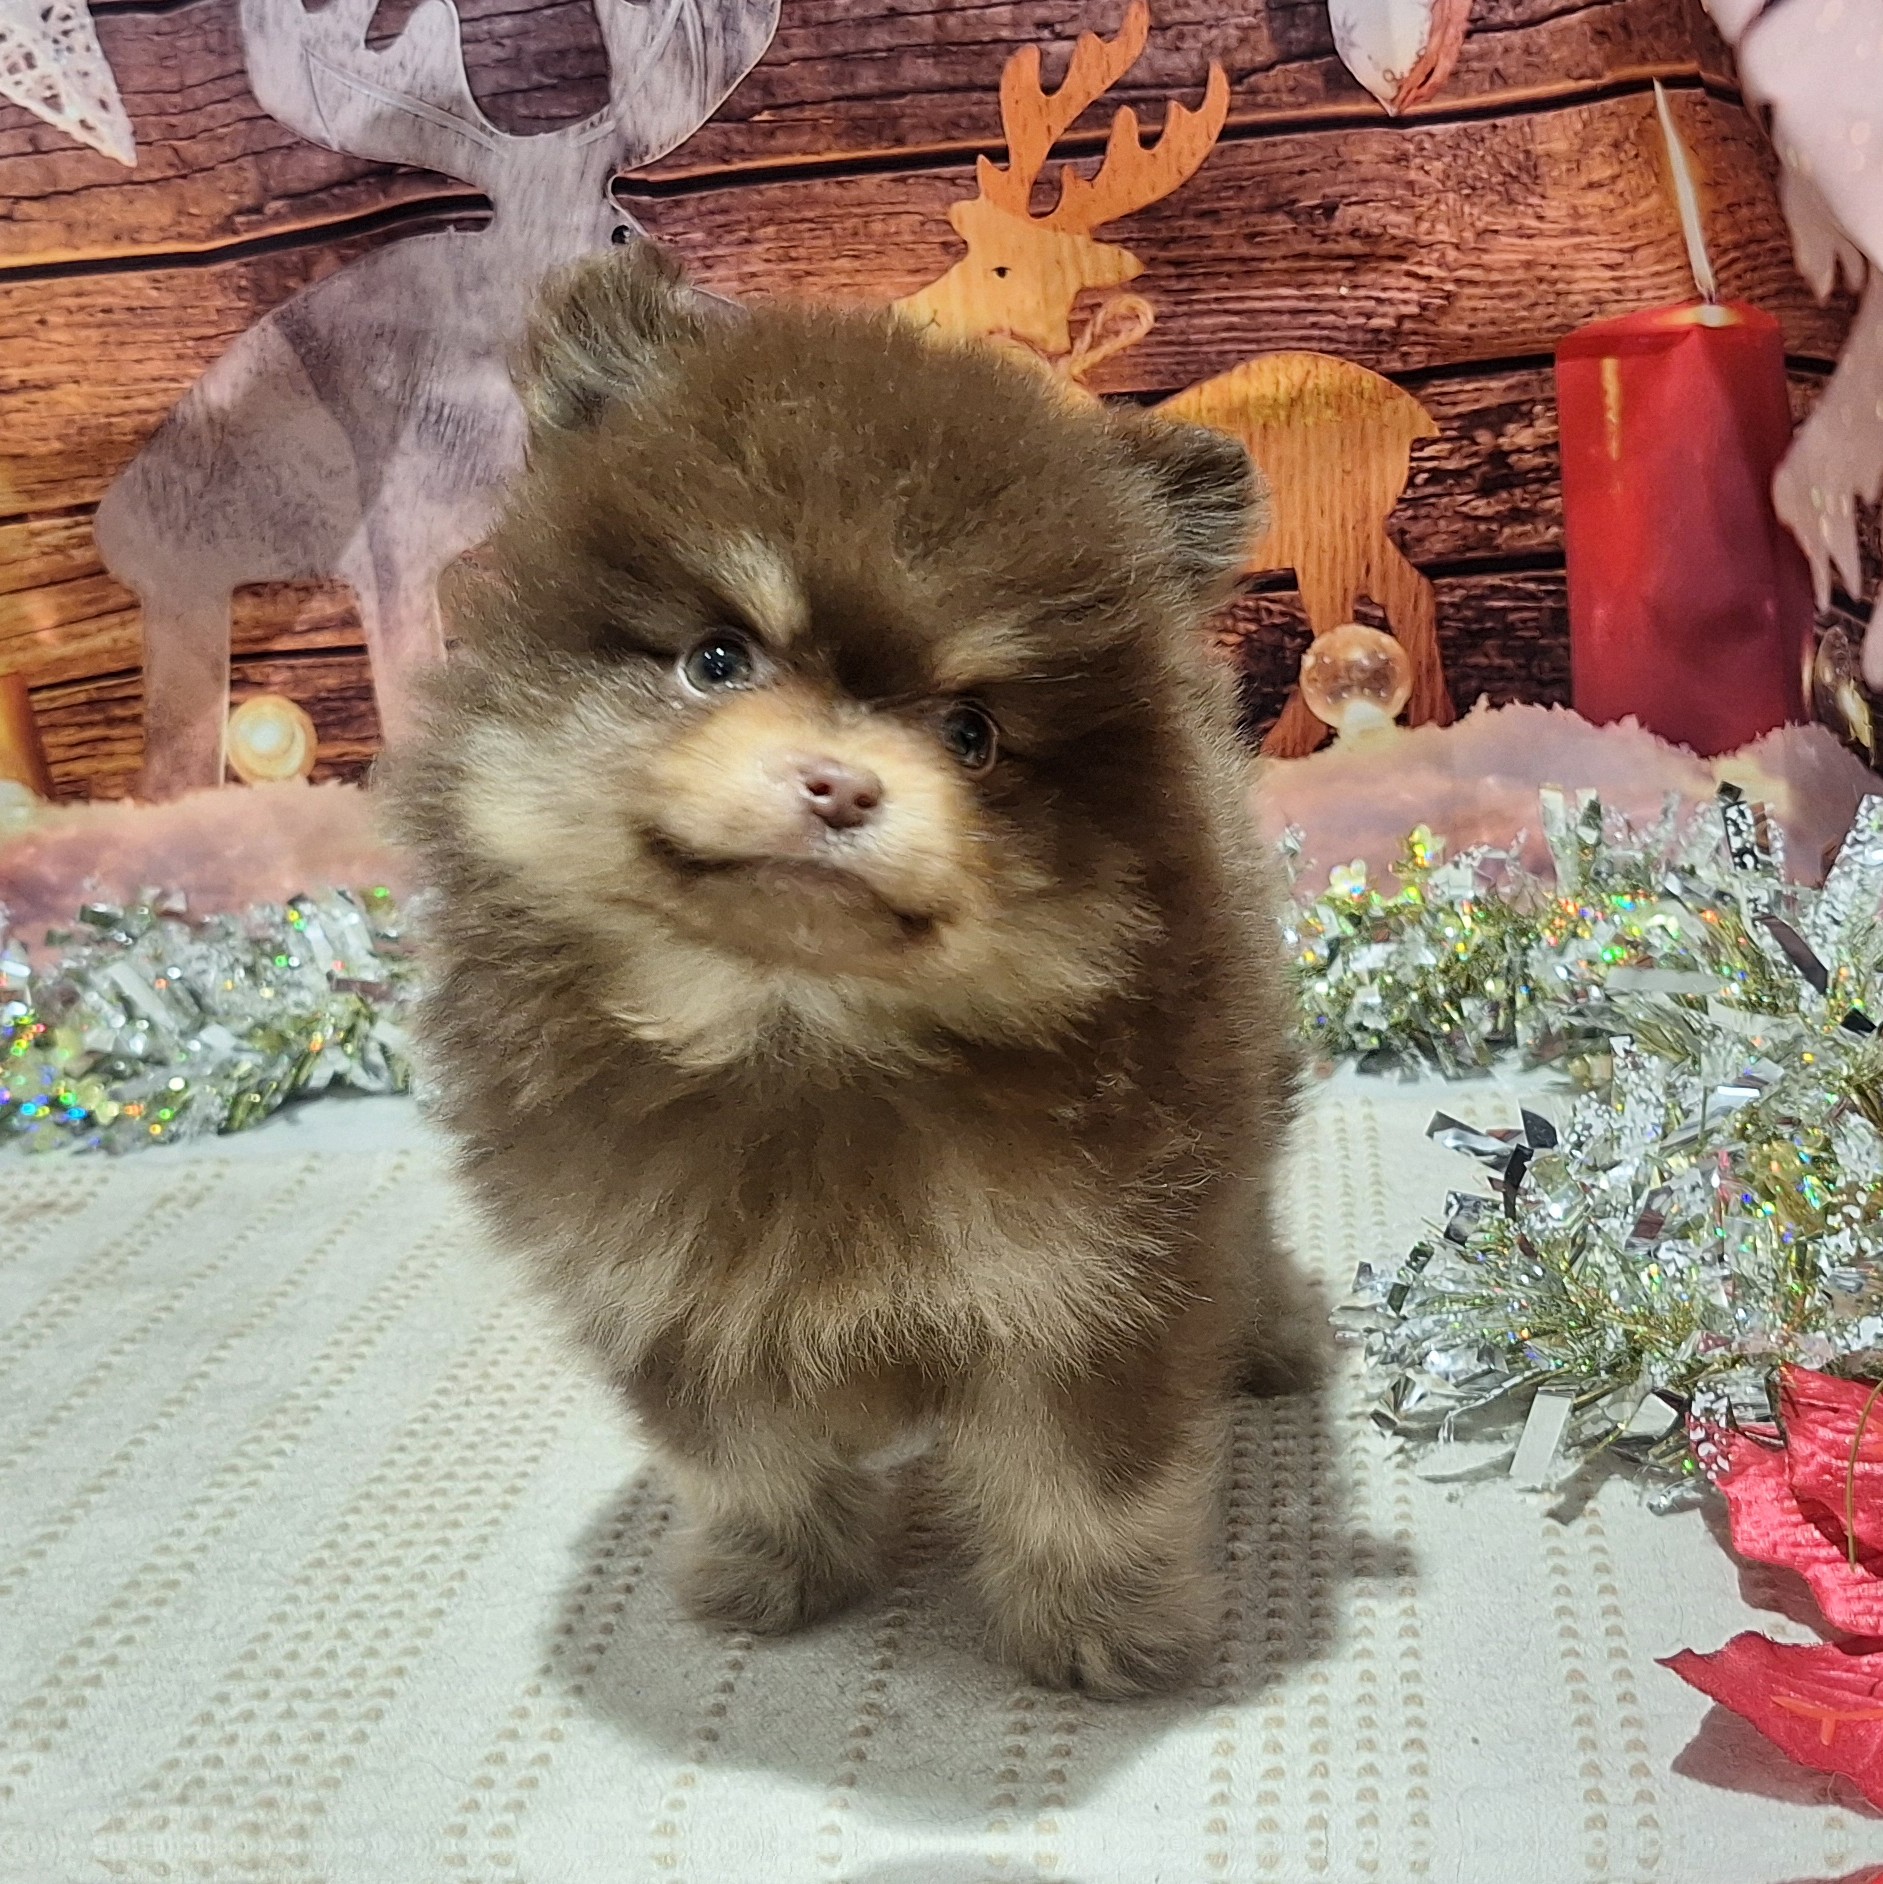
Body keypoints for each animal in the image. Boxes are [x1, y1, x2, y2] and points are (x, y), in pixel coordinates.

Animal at [391, 244, 1322, 1695]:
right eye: (717, 659)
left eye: (973, 732)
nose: (837, 782)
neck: (806, 1038)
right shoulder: (669, 1291)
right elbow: (745, 1462)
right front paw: (774, 1572)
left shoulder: (1102, 1281)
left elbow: (1087, 1485)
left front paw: (1099, 1630)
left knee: (1258, 1209)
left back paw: (1272, 1335)